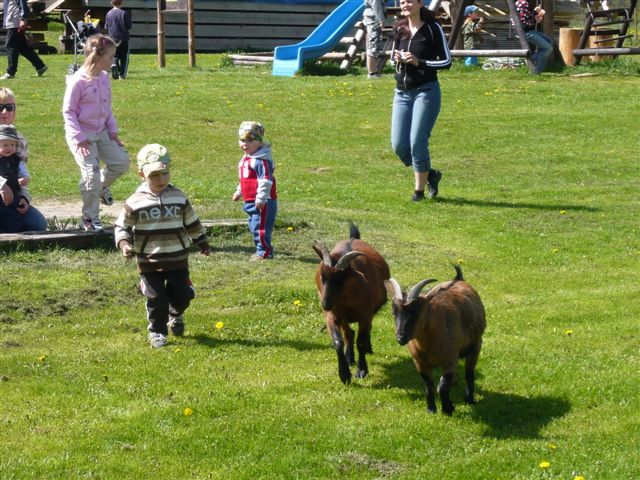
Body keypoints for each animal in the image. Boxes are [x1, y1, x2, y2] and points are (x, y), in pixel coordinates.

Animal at [314, 223, 390, 384]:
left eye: (340, 280)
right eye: (322, 277)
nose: (325, 304)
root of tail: (353, 238)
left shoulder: (365, 315)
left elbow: (360, 342)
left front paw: (361, 371)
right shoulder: (332, 315)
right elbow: (338, 341)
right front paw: (344, 374)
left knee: (362, 334)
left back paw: (367, 349)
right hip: (342, 317)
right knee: (349, 333)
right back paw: (349, 357)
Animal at [384, 264, 484, 414]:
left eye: (416, 312)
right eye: (394, 313)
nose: (400, 337)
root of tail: (458, 279)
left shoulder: (450, 360)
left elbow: (441, 387)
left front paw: (448, 409)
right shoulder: (420, 363)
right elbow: (429, 386)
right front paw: (431, 409)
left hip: (476, 346)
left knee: (469, 373)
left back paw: (470, 398)